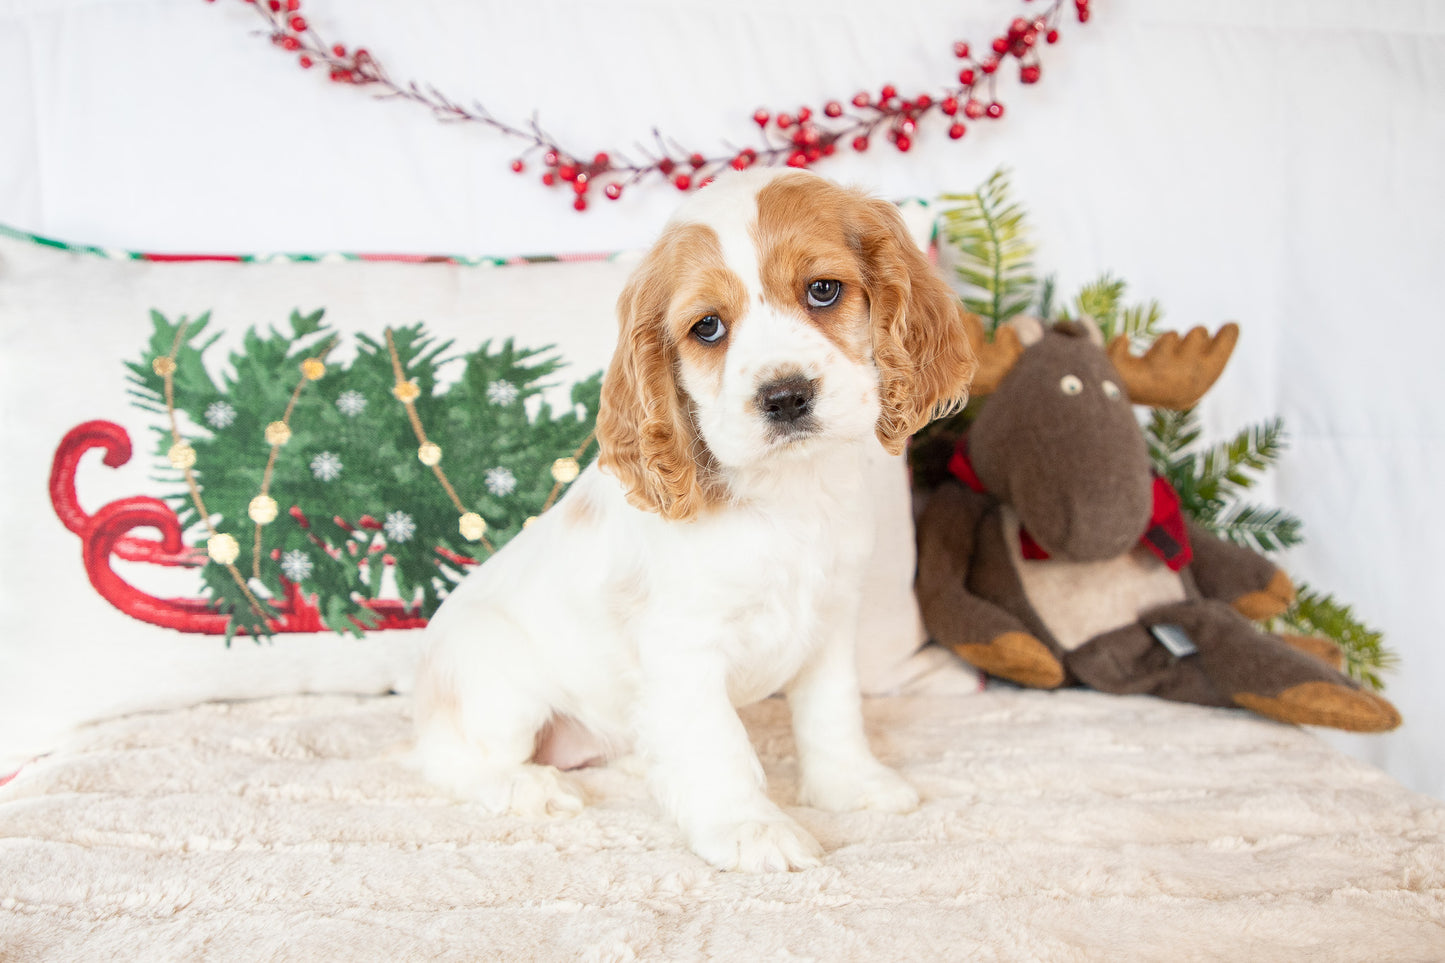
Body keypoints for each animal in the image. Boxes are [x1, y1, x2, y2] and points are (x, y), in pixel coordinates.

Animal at [419, 167, 982, 867]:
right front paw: (751, 828)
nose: (785, 397)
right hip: (500, 688)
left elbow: (833, 713)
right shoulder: (683, 646)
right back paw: (530, 787)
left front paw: (852, 786)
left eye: (823, 290)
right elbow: (718, 743)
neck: (785, 495)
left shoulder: (832, 621)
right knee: (446, 759)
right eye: (708, 328)